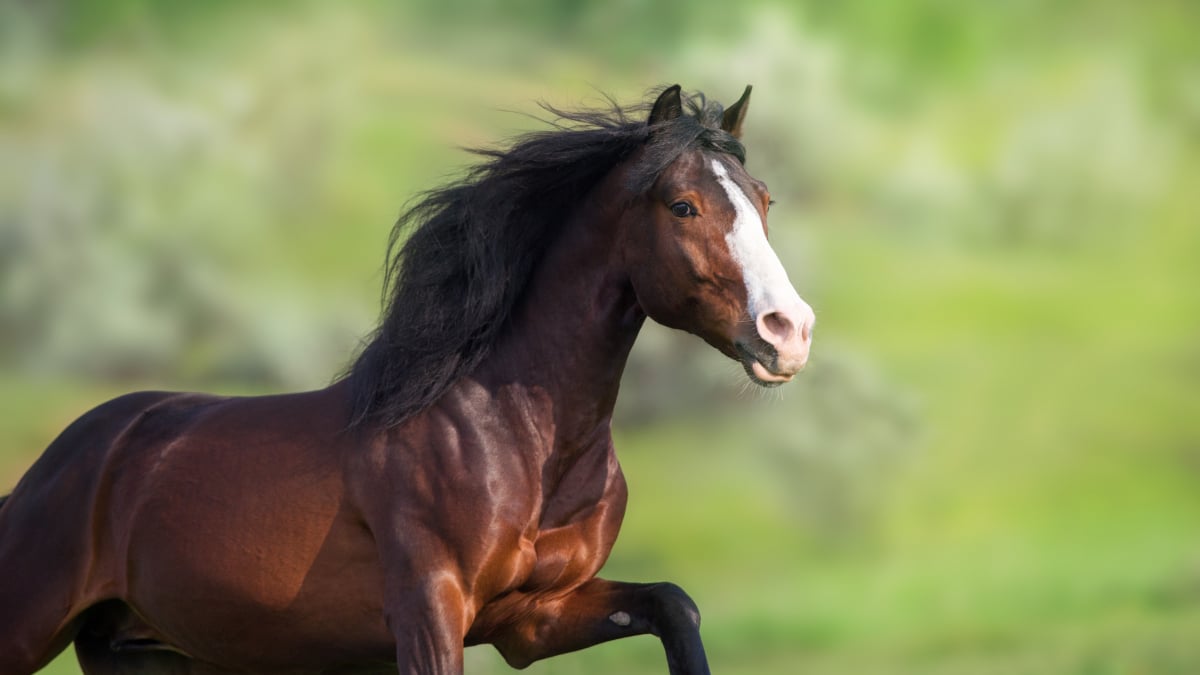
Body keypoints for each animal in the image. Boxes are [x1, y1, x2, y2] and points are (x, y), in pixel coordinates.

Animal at [0, 84, 816, 672]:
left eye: (764, 199)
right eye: (683, 205)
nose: (790, 332)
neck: (518, 439)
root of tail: (51, 469)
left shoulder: (535, 614)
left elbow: (676, 606)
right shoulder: (430, 611)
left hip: (142, 651)